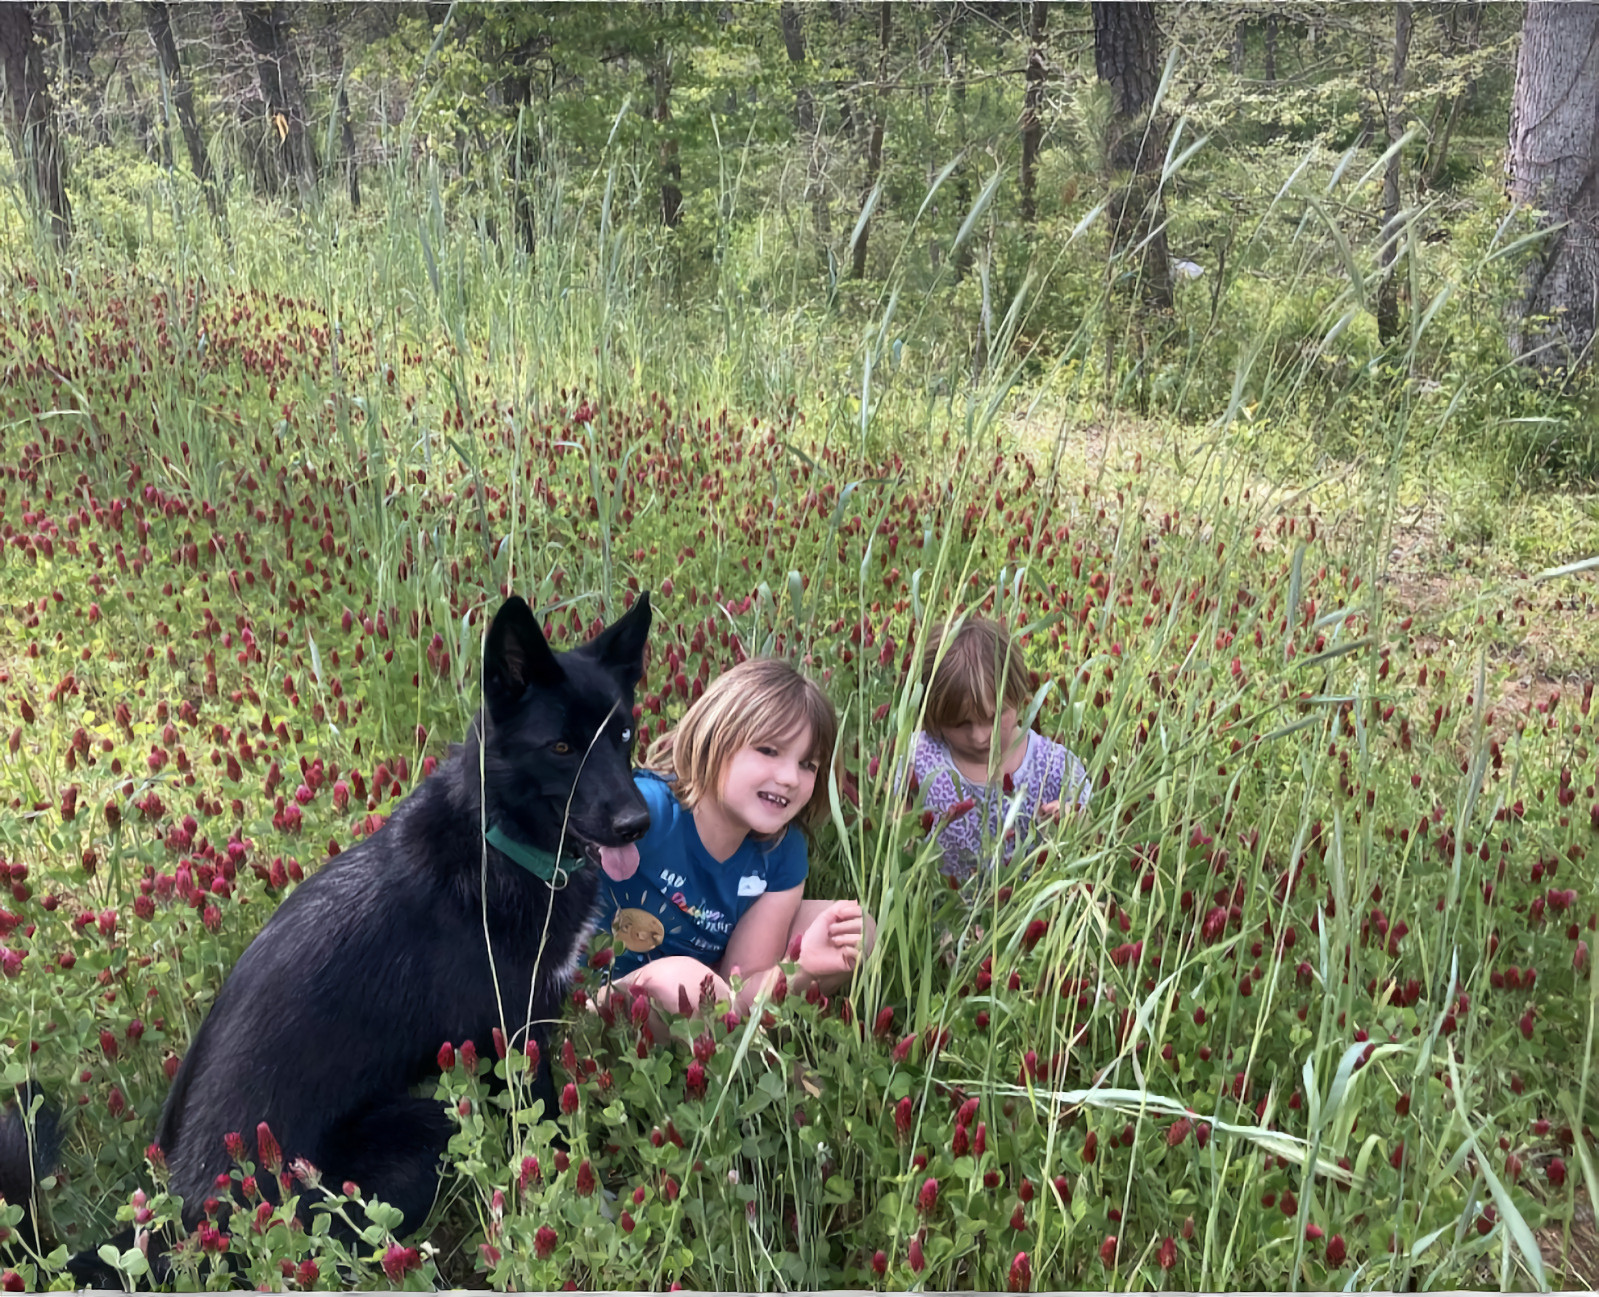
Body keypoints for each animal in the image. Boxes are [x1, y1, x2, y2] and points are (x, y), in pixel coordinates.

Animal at [1, 594, 649, 1285]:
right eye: (561, 747)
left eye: (624, 735)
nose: (638, 824)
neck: (497, 837)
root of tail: (179, 1222)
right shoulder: (517, 1036)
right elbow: (551, 1135)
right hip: (423, 1131)